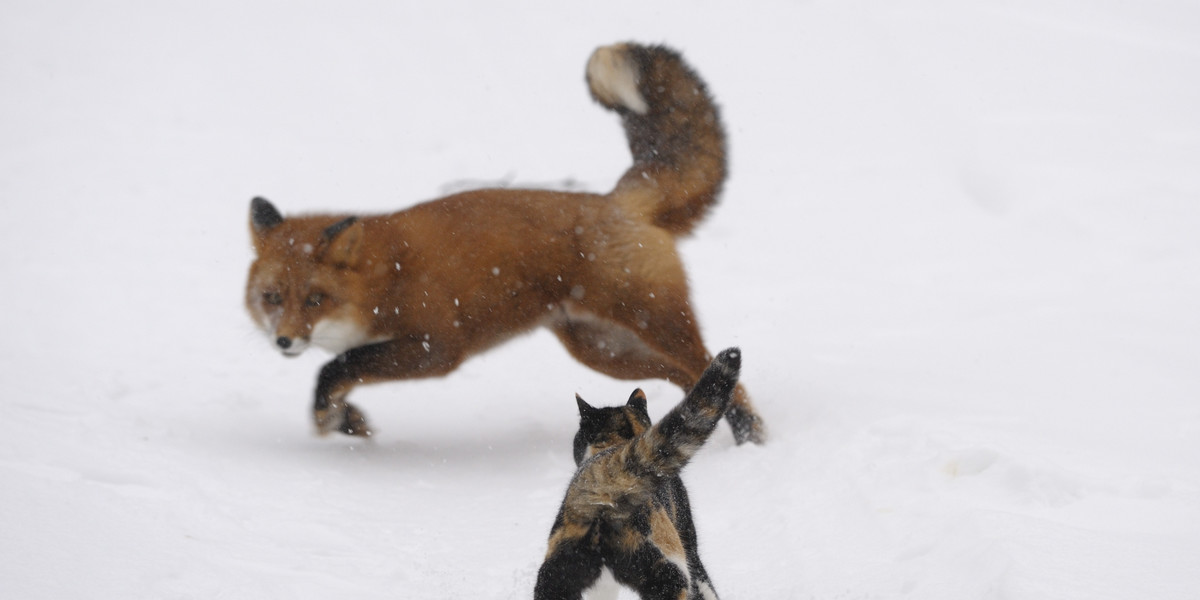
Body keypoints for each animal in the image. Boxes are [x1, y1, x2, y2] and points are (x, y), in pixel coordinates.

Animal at [247, 42, 763, 444]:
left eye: (315, 299)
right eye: (271, 298)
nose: (283, 340)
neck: (381, 276)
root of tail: (616, 200)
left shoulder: (436, 345)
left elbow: (338, 366)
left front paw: (332, 415)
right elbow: (338, 376)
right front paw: (344, 420)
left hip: (652, 324)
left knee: (715, 373)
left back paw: (750, 437)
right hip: (606, 353)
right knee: (686, 379)